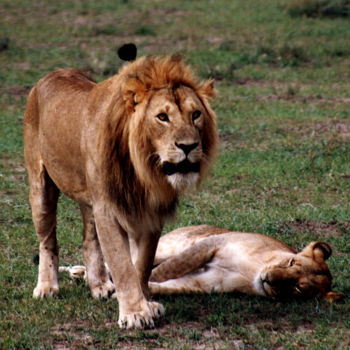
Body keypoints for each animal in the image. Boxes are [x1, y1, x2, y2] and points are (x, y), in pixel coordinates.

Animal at [23, 54, 217, 328]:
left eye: (196, 114)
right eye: (162, 117)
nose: (188, 146)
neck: (144, 170)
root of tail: (53, 73)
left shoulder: (149, 212)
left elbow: (142, 264)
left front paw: (145, 304)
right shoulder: (108, 209)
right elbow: (122, 264)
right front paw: (135, 314)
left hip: (89, 198)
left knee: (89, 239)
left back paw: (100, 286)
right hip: (41, 187)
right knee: (47, 240)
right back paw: (47, 287)